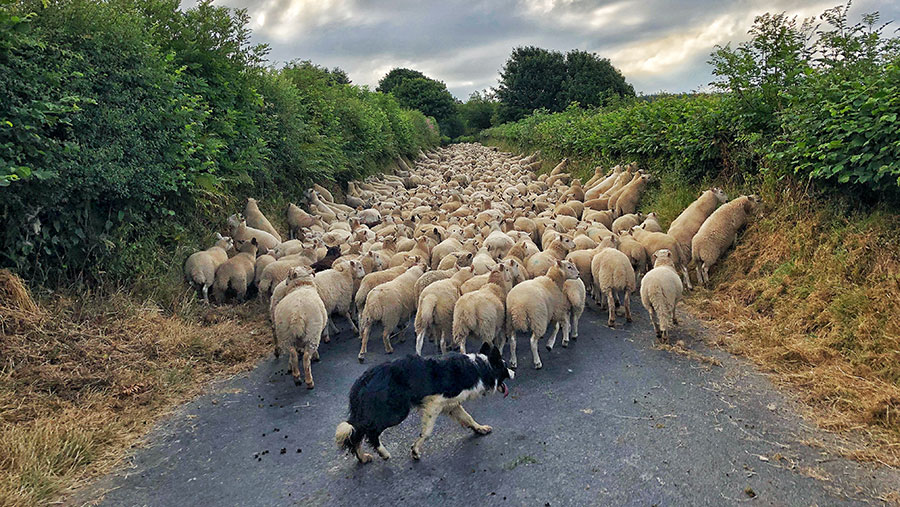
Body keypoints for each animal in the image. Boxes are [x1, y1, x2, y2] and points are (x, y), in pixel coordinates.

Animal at [334, 344, 512, 462]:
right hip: (395, 412)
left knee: (355, 432)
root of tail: (365, 377)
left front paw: (480, 428)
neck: (480, 367)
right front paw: (415, 451)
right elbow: (426, 432)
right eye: (505, 366)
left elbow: (468, 418)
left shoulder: (451, 404)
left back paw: (362, 457)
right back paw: (383, 453)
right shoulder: (434, 403)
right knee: (369, 432)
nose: (513, 372)